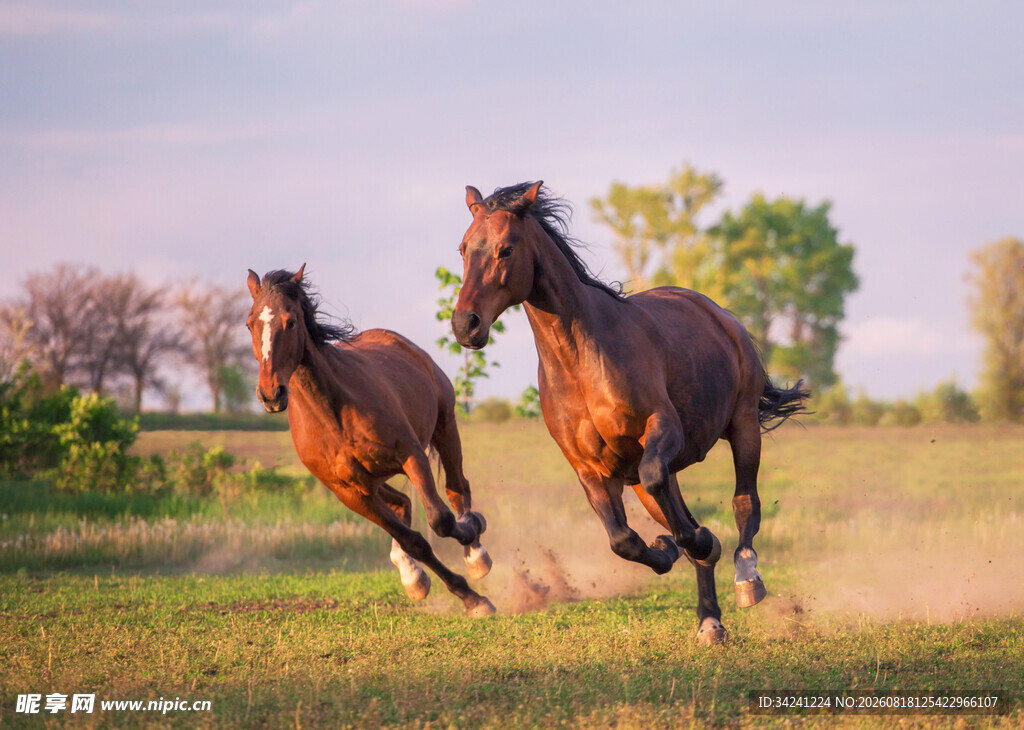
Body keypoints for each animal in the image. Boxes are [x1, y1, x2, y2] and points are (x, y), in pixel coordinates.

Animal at [246, 265, 495, 617]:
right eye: (250, 323)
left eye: (290, 321)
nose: (271, 394)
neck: (334, 413)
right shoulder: (350, 493)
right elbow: (414, 541)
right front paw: (468, 597)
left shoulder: (411, 455)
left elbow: (440, 520)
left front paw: (473, 560)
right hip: (374, 480)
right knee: (402, 503)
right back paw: (412, 576)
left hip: (445, 425)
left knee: (457, 488)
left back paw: (476, 555)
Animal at [450, 182, 808, 643]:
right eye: (463, 249)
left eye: (506, 249)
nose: (465, 325)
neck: (581, 361)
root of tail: (720, 315)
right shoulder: (590, 468)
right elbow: (623, 539)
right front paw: (669, 547)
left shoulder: (662, 428)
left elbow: (682, 506)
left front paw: (700, 543)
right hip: (644, 480)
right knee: (678, 511)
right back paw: (709, 620)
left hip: (744, 426)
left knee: (745, 501)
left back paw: (746, 576)